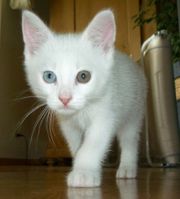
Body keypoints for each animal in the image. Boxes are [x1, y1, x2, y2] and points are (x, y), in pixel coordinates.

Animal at [21, 8, 147, 187]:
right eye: (49, 76)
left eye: (83, 76)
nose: (64, 98)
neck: (80, 113)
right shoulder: (68, 125)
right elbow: (76, 145)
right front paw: (82, 165)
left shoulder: (105, 115)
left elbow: (92, 144)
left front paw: (84, 172)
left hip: (134, 111)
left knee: (129, 139)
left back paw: (127, 168)